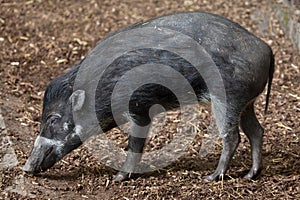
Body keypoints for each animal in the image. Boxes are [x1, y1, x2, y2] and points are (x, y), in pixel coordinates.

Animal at [22, 11, 274, 182]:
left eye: (53, 119)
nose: (25, 168)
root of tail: (266, 48)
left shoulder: (139, 108)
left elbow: (135, 144)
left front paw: (117, 178)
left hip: (228, 98)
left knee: (232, 137)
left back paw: (211, 177)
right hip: (246, 102)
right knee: (256, 130)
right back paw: (250, 175)